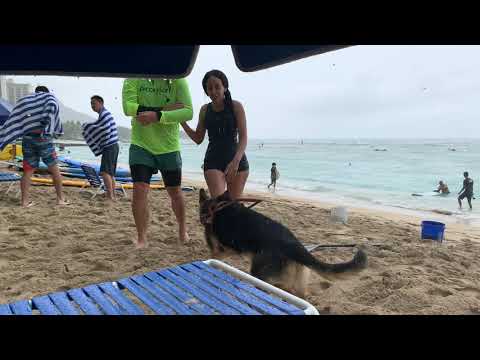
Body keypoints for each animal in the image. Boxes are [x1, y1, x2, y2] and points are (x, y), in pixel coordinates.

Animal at [199, 188, 368, 298]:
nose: (202, 219)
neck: (216, 207)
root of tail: (294, 245)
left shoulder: (217, 250)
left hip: (260, 274)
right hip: (298, 278)